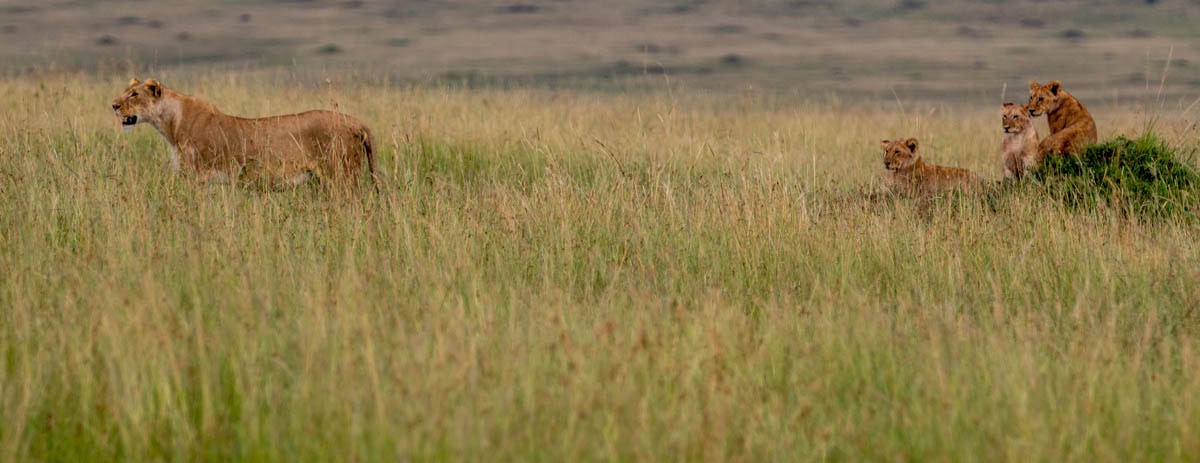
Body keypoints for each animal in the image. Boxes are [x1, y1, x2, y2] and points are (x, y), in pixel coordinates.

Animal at [111, 78, 378, 190]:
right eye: (125, 91)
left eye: (134, 94)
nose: (113, 105)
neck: (170, 124)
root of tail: (356, 121)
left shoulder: (197, 178)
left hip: (341, 177)